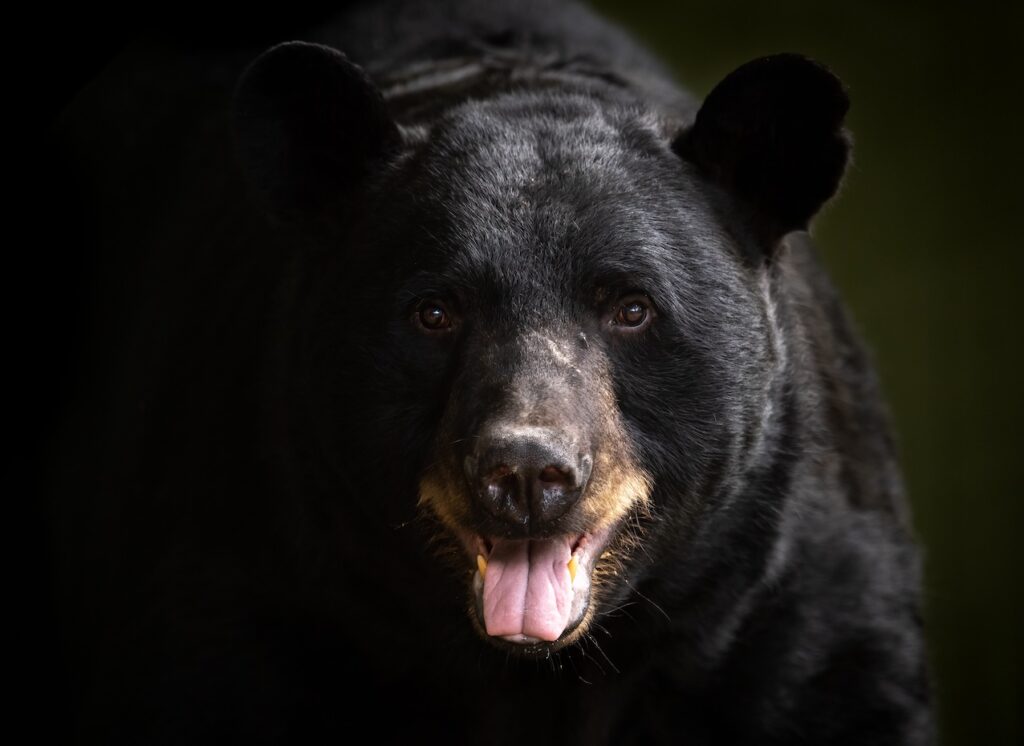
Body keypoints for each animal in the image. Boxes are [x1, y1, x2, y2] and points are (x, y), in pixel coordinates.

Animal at [54, 0, 937, 740]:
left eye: (632, 308)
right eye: (434, 312)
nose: (526, 473)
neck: (539, 676)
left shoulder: (819, 636)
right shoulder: (238, 603)